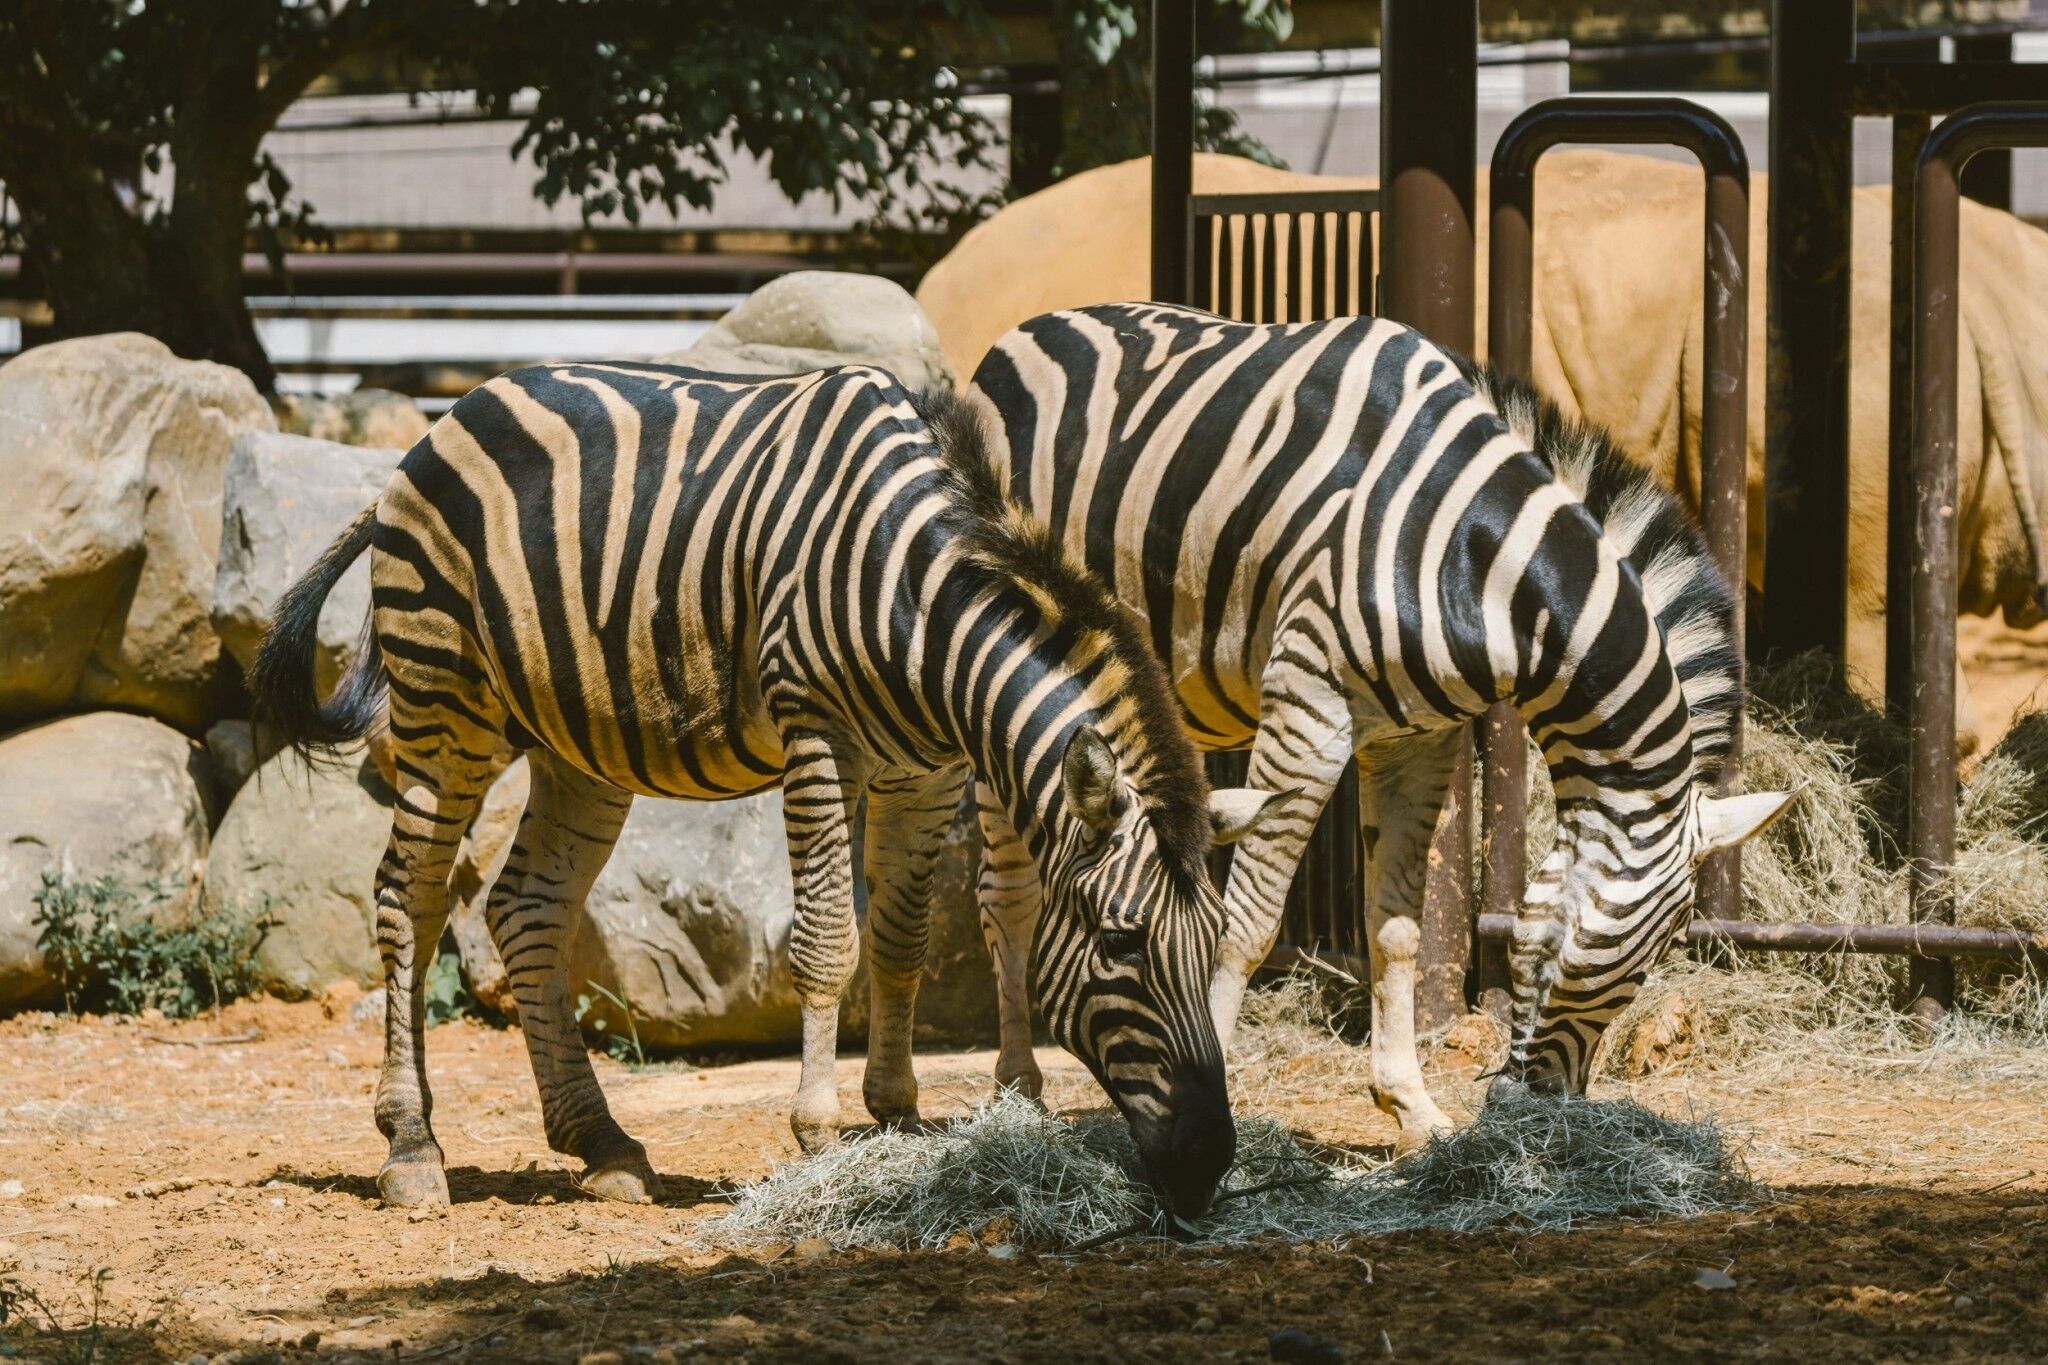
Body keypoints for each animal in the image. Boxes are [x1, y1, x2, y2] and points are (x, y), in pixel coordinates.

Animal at [247, 361, 1284, 1216]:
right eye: (1121, 943)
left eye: (1211, 944)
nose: (1208, 1161)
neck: (922, 601)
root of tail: (444, 421)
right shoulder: (818, 734)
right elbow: (828, 942)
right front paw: (818, 1129)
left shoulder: (929, 769)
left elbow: (900, 940)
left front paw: (898, 1116)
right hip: (446, 701)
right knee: (407, 900)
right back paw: (412, 1149)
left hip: (574, 743)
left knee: (527, 907)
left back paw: (604, 1144)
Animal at [965, 302, 1793, 1149]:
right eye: (1642, 959)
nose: (1541, 1111)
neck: (1474, 559)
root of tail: (1032, 327)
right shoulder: (1308, 707)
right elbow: (1246, 922)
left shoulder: (1419, 739)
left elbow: (1396, 926)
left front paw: (1411, 1107)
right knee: (1007, 892)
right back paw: (1019, 1088)